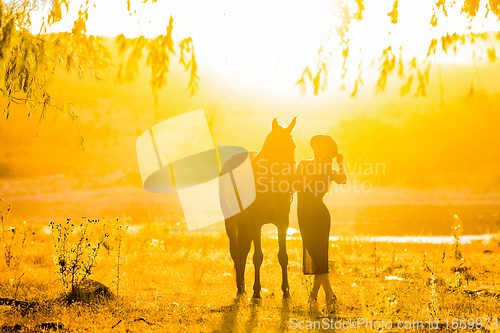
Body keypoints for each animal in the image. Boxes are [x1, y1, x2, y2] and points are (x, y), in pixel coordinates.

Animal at [220, 117, 296, 298]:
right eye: (277, 146)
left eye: (293, 146)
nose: (291, 178)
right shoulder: (256, 225)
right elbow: (258, 257)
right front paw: (256, 291)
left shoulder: (282, 224)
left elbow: (283, 256)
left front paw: (286, 290)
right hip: (231, 221)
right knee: (235, 251)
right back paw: (241, 286)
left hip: (244, 225)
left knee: (243, 251)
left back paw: (243, 286)